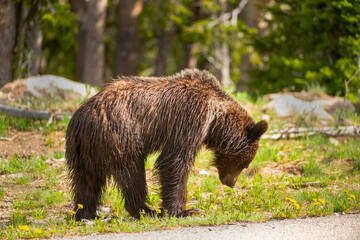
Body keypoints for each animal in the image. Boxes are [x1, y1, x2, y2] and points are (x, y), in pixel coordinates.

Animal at [65, 68, 268, 220]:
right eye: (245, 164)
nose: (230, 183)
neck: (216, 120)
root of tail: (81, 119)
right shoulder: (190, 117)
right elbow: (175, 160)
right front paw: (185, 211)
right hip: (121, 137)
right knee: (132, 174)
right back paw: (146, 210)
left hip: (84, 151)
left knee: (86, 182)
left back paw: (86, 213)